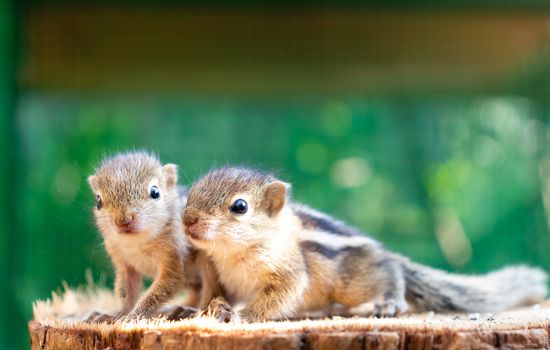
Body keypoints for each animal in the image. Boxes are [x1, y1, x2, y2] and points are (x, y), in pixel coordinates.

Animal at [87, 152, 221, 322]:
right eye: (98, 201)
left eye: (155, 192)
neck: (137, 243)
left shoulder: (173, 258)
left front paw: (133, 317)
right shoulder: (124, 263)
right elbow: (126, 292)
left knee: (212, 292)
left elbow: (159, 290)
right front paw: (117, 315)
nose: (123, 220)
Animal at [183, 167, 548, 322]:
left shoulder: (288, 271)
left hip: (356, 281)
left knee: (391, 273)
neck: (232, 253)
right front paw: (204, 309)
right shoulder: (218, 275)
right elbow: (214, 294)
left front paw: (241, 315)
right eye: (192, 192)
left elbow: (278, 297)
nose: (187, 219)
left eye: (239, 206)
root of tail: (381, 250)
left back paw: (390, 302)